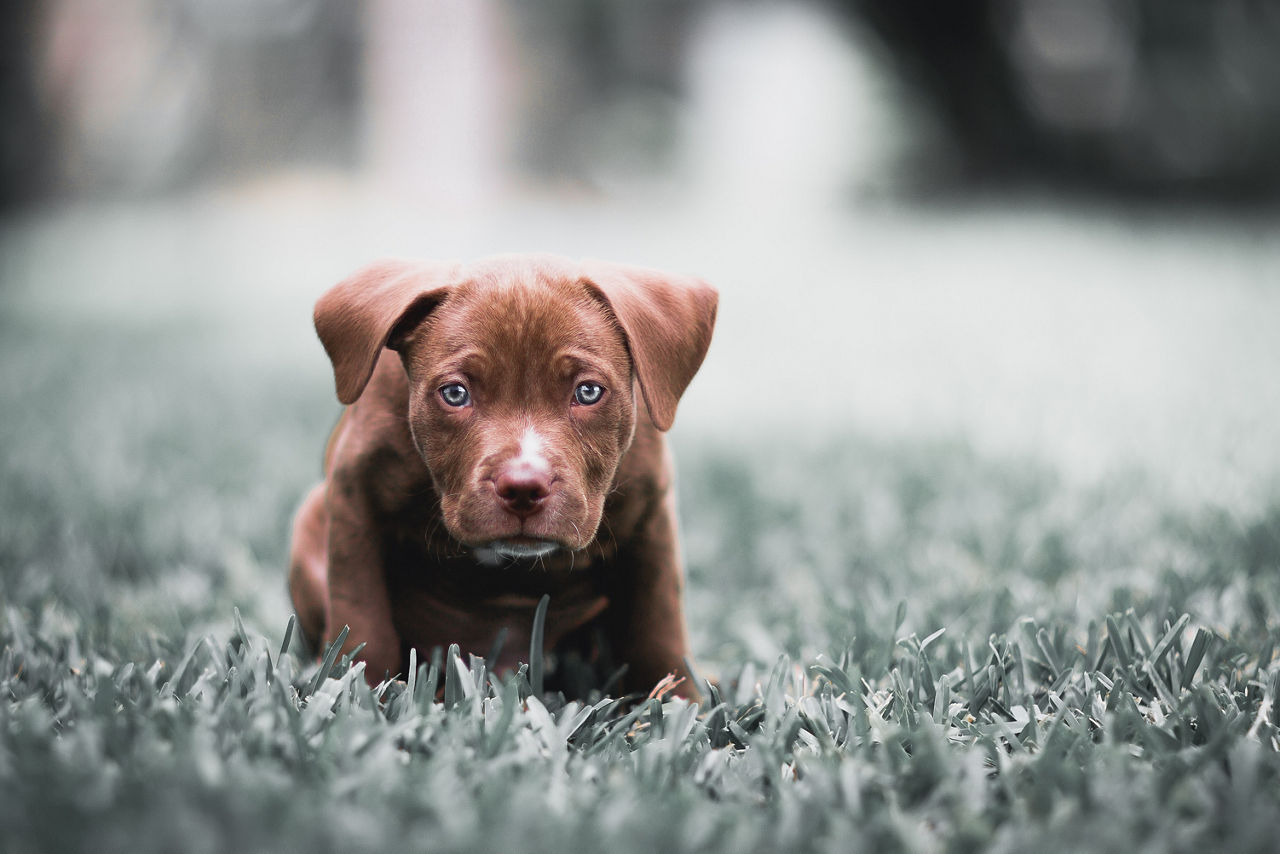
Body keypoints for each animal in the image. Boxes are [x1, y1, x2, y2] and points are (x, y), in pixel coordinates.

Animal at [285, 253, 716, 701]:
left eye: (588, 392)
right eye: (455, 393)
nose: (523, 487)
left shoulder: (651, 517)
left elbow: (658, 624)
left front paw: (680, 700)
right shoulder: (355, 499)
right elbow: (361, 612)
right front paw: (355, 692)